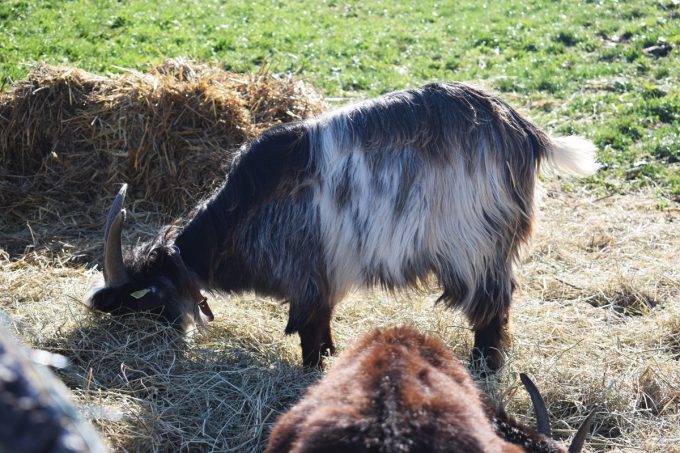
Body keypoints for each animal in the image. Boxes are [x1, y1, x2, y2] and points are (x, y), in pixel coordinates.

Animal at [87, 82, 598, 369]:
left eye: (142, 297)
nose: (149, 344)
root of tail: (525, 132)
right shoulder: (325, 274)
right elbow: (325, 320)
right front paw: (334, 356)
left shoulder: (304, 274)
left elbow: (308, 331)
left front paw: (313, 372)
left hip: (476, 244)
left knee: (493, 305)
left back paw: (484, 366)